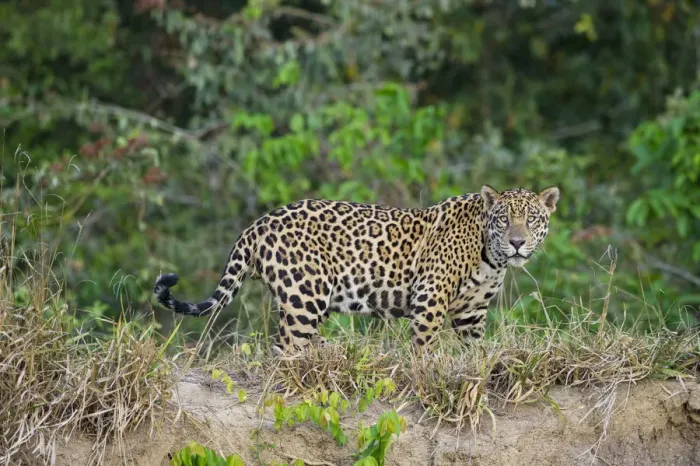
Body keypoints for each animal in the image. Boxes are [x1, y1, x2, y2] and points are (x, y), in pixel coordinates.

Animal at [153, 185, 559, 353]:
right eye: (504, 220)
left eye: (532, 219)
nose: (518, 243)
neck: (492, 257)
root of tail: (256, 224)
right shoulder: (430, 297)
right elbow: (425, 345)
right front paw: (426, 370)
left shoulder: (472, 311)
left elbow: (476, 350)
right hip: (305, 295)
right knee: (286, 346)